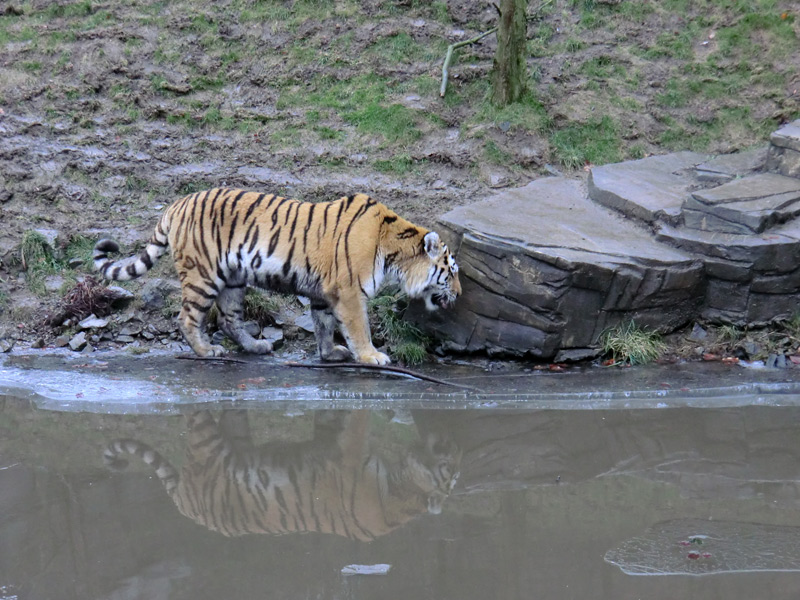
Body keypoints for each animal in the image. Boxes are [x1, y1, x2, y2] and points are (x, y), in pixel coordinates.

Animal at [92, 190, 462, 364]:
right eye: (451, 271)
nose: (459, 294)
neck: (394, 253)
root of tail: (177, 204)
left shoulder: (324, 293)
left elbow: (324, 326)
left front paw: (330, 354)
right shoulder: (349, 292)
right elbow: (359, 329)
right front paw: (372, 356)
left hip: (233, 280)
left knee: (227, 319)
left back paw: (255, 346)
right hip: (203, 276)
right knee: (186, 317)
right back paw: (207, 350)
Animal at [104, 410, 462, 540]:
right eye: (453, 470)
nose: (455, 446)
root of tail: (184, 504)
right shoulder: (351, 454)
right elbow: (356, 424)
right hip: (206, 441)